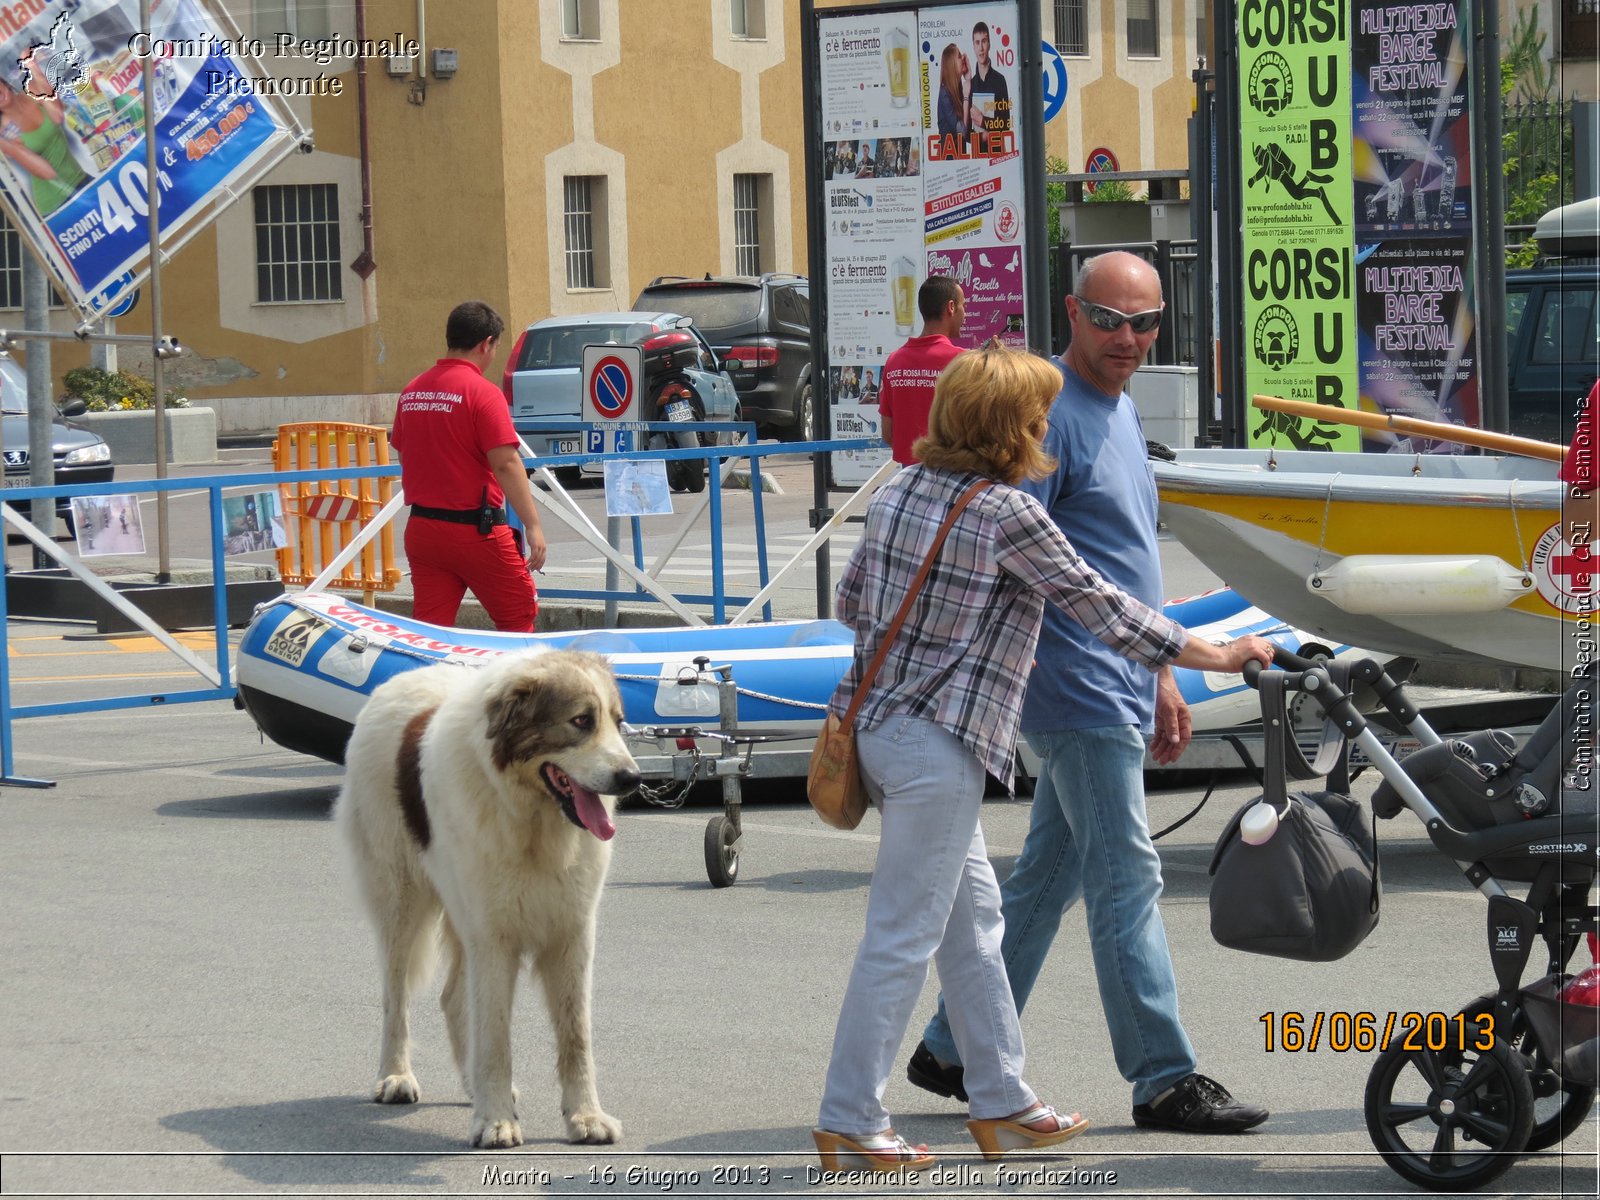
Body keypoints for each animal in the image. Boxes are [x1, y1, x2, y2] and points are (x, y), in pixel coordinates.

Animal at [334, 652, 640, 1152]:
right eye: (580, 721)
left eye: (618, 723)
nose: (632, 779)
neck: (531, 818)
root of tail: (401, 679)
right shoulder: (494, 939)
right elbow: (495, 1038)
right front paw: (495, 1122)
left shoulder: (572, 933)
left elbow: (576, 1036)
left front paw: (585, 1117)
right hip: (400, 903)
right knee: (395, 998)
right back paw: (395, 1077)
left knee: (452, 997)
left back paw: (469, 1085)